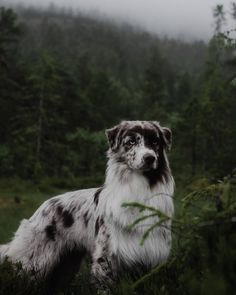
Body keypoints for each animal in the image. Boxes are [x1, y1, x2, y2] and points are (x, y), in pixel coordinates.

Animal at [0, 121, 173, 292]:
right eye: (131, 142)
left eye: (155, 142)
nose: (149, 158)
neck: (139, 189)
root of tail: (41, 207)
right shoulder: (107, 254)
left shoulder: (151, 255)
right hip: (33, 261)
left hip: (67, 263)